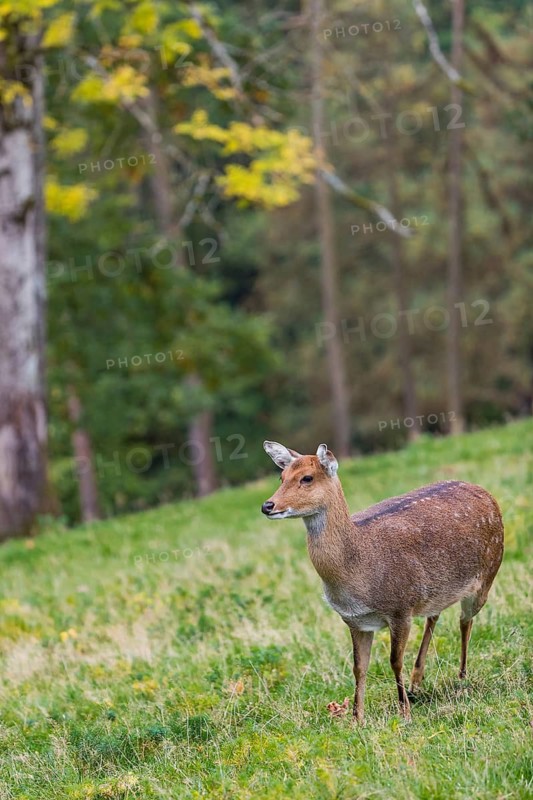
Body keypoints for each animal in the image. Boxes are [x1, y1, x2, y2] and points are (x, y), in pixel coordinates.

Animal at [261, 441, 504, 724]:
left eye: (307, 478)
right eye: (281, 477)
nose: (268, 505)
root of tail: (485, 492)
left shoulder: (400, 608)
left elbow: (394, 661)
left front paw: (404, 713)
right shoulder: (355, 621)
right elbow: (358, 667)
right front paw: (357, 718)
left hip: (487, 573)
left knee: (465, 621)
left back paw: (461, 678)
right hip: (435, 590)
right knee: (435, 615)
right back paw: (417, 681)